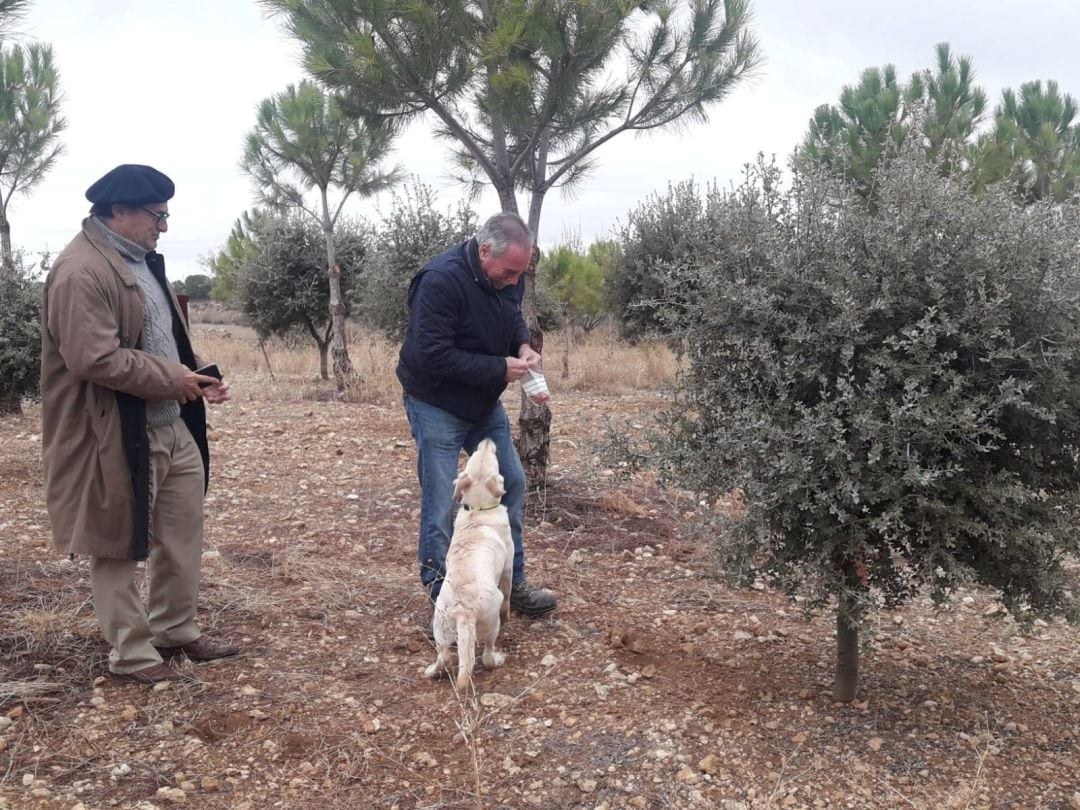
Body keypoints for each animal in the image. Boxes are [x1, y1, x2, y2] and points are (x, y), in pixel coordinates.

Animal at [425, 438, 514, 691]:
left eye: (473, 455)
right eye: (492, 458)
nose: (487, 440)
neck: (478, 511)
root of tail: (463, 611)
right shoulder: (508, 566)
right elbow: (509, 592)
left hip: (440, 627)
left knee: (445, 656)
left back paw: (431, 671)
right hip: (490, 622)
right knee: (486, 656)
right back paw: (497, 659)